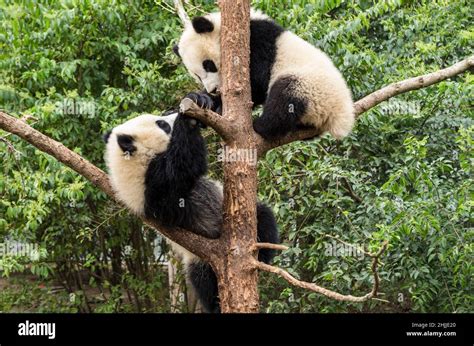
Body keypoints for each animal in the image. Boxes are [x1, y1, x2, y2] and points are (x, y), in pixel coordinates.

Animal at [103, 109, 278, 312]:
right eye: (163, 125)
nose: (172, 112)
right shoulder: (154, 189)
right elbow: (185, 165)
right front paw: (187, 121)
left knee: (264, 216)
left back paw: (261, 253)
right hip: (199, 257)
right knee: (203, 281)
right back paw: (217, 303)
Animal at [174, 10, 356, 141]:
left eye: (208, 64)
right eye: (197, 76)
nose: (213, 89)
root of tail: (341, 116)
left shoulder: (257, 40)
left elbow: (257, 83)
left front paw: (219, 105)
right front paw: (201, 99)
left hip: (311, 87)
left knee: (284, 97)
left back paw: (260, 126)